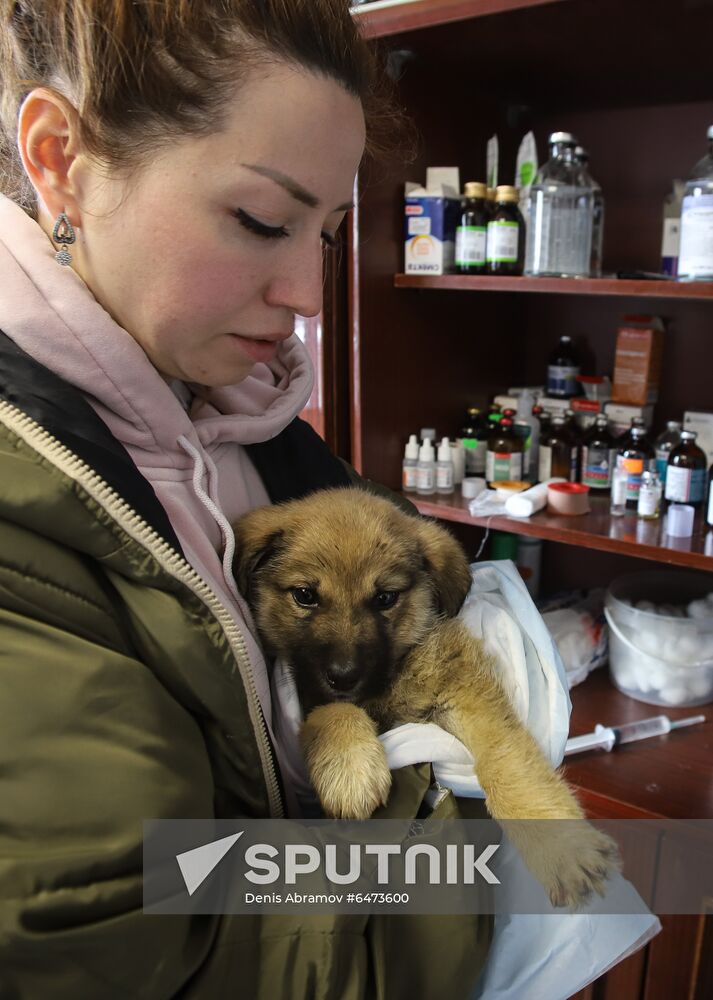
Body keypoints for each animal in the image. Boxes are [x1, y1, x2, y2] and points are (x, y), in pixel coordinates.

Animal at [234, 488, 616, 912]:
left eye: (385, 597)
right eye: (305, 595)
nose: (344, 675)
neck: (387, 683)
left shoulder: (464, 689)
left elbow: (505, 761)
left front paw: (561, 848)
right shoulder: (308, 693)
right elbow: (333, 711)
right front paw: (350, 766)